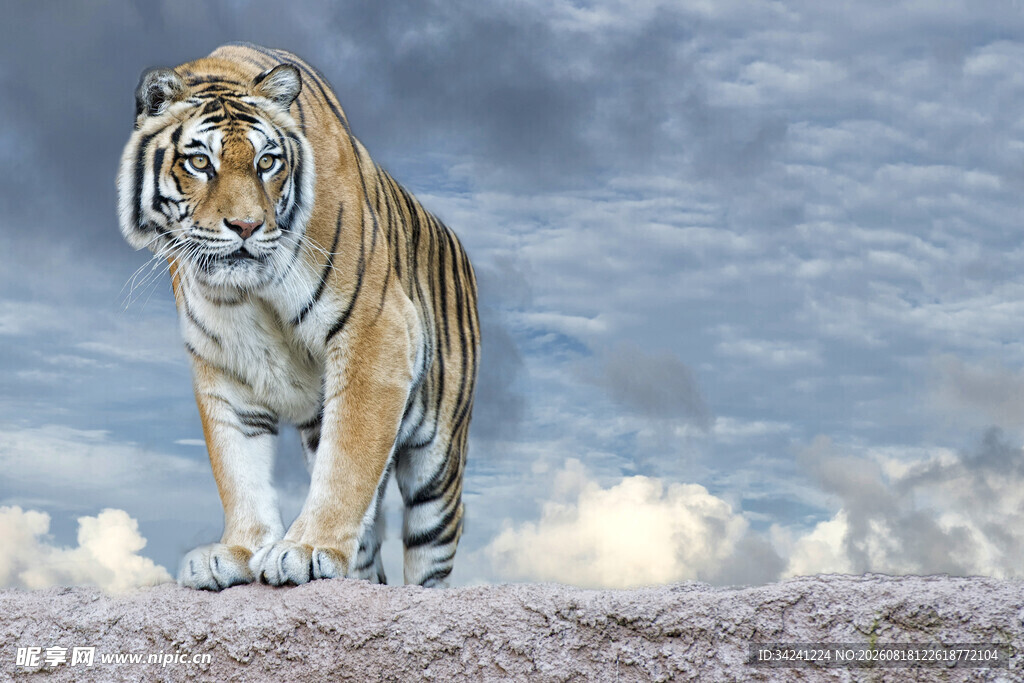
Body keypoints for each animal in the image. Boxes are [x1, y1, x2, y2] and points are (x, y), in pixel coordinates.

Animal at [116, 43, 479, 589]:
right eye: (200, 162)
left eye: (267, 162)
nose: (245, 226)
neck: (247, 291)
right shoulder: (223, 363)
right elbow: (237, 466)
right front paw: (239, 550)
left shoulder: (375, 330)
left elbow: (347, 459)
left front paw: (308, 549)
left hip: (438, 463)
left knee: (429, 553)